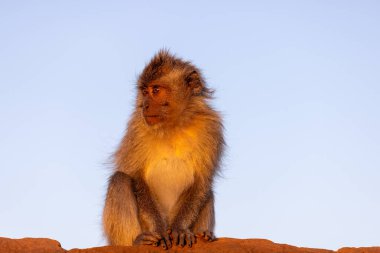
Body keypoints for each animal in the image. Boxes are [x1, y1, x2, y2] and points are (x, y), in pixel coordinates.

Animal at [102, 49, 224, 249]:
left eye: (156, 90)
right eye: (145, 91)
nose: (145, 105)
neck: (172, 125)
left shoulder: (211, 128)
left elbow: (202, 180)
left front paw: (180, 229)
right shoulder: (137, 127)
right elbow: (136, 176)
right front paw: (159, 230)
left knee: (207, 193)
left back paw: (204, 235)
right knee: (119, 179)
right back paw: (136, 241)